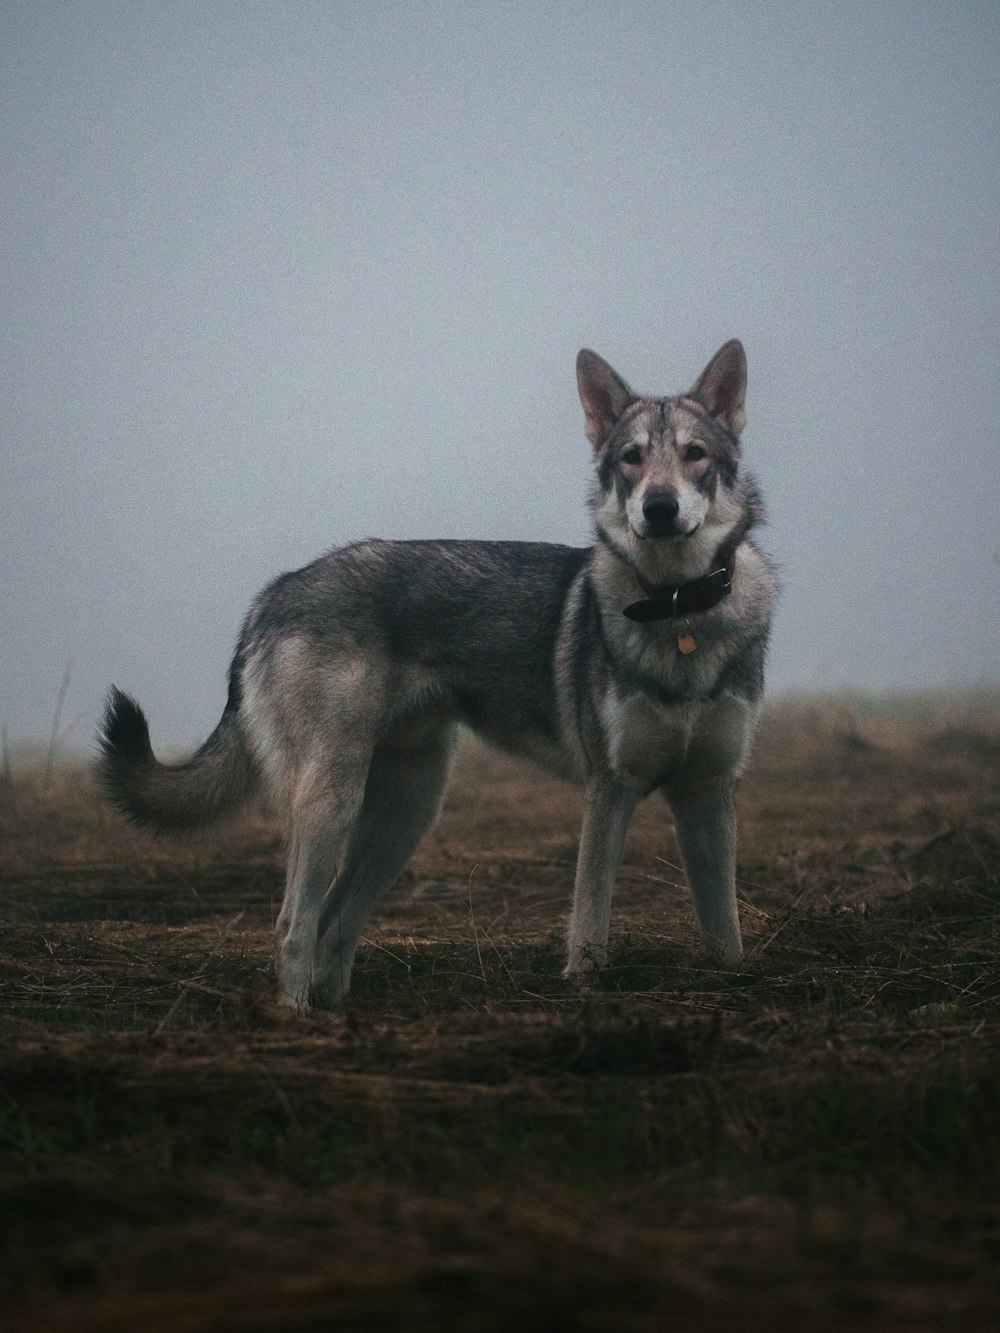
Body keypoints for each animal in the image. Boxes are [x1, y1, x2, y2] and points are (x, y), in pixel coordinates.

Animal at [98, 341, 778, 1007]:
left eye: (694, 456)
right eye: (633, 459)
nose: (659, 508)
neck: (679, 610)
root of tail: (273, 593)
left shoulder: (709, 791)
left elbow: (725, 929)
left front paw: (733, 983)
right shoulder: (609, 790)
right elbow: (589, 924)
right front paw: (586, 991)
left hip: (407, 813)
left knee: (334, 923)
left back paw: (336, 1016)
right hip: (333, 804)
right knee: (293, 926)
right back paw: (297, 1020)